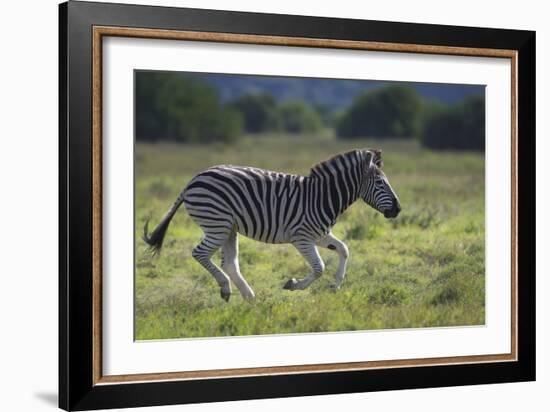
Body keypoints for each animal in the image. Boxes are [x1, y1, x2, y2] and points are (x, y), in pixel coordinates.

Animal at [142, 148, 402, 300]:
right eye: (380, 182)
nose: (398, 209)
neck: (322, 196)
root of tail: (194, 178)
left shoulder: (320, 235)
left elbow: (344, 249)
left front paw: (336, 286)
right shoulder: (302, 237)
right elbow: (319, 267)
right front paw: (294, 284)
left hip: (229, 228)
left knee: (230, 263)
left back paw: (249, 297)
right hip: (218, 224)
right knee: (200, 253)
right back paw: (226, 288)